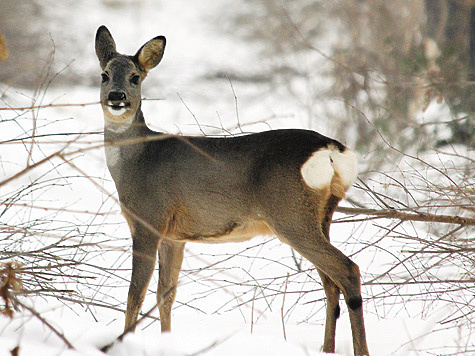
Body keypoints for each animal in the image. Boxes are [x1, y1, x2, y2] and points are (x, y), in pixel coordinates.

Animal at [96, 25, 372, 356]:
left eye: (135, 76)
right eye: (104, 74)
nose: (116, 97)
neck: (136, 161)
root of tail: (333, 150)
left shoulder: (148, 220)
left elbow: (134, 295)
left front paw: (119, 344)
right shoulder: (175, 236)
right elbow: (166, 295)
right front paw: (167, 343)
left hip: (290, 215)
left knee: (347, 269)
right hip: (321, 215)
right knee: (330, 281)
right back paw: (326, 348)